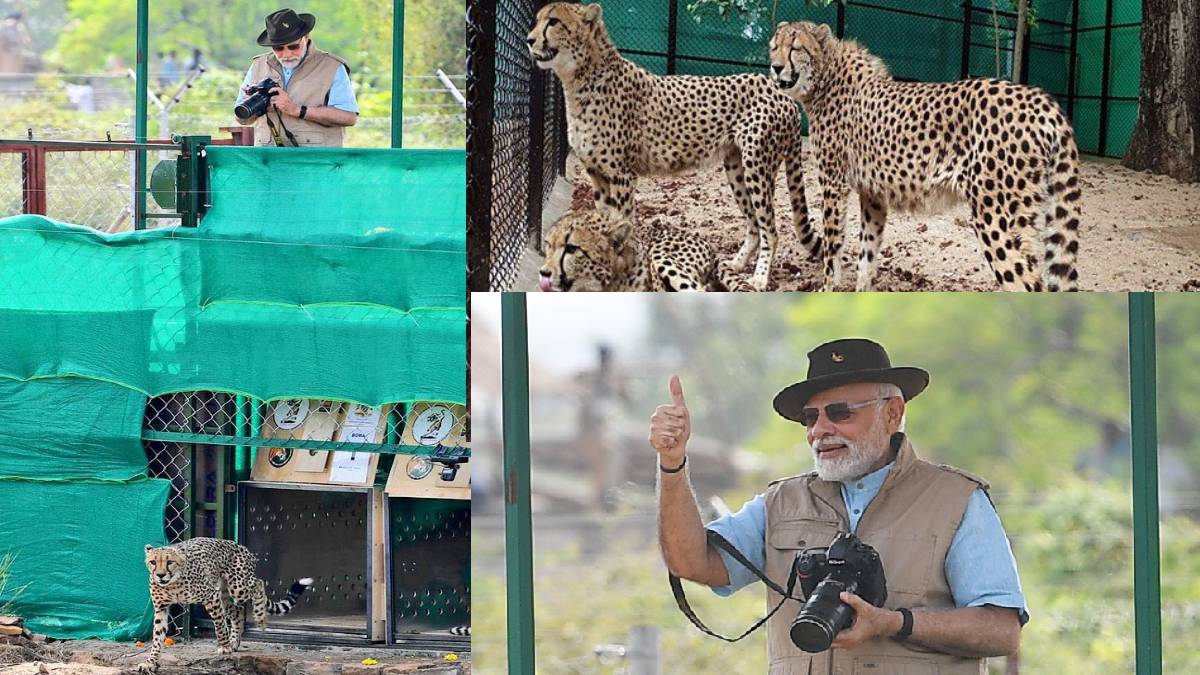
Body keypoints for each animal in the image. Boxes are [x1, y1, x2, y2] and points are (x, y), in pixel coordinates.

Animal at [138, 535, 312, 667]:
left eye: (170, 562)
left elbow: (219, 625)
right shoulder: (161, 608)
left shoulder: (211, 597)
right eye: (153, 562)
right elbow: (157, 636)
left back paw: (260, 617)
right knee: (238, 610)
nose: (160, 575)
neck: (172, 584)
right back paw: (235, 641)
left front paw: (224, 646)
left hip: (239, 587)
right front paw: (150, 662)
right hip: (225, 596)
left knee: (258, 583)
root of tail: (239, 545)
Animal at [772, 20, 1084, 289]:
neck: (825, 78)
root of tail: (1042, 99)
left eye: (795, 47)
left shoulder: (833, 184)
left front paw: (827, 288)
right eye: (774, 46)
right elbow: (867, 254)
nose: (775, 68)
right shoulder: (873, 194)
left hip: (996, 218)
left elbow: (832, 246)